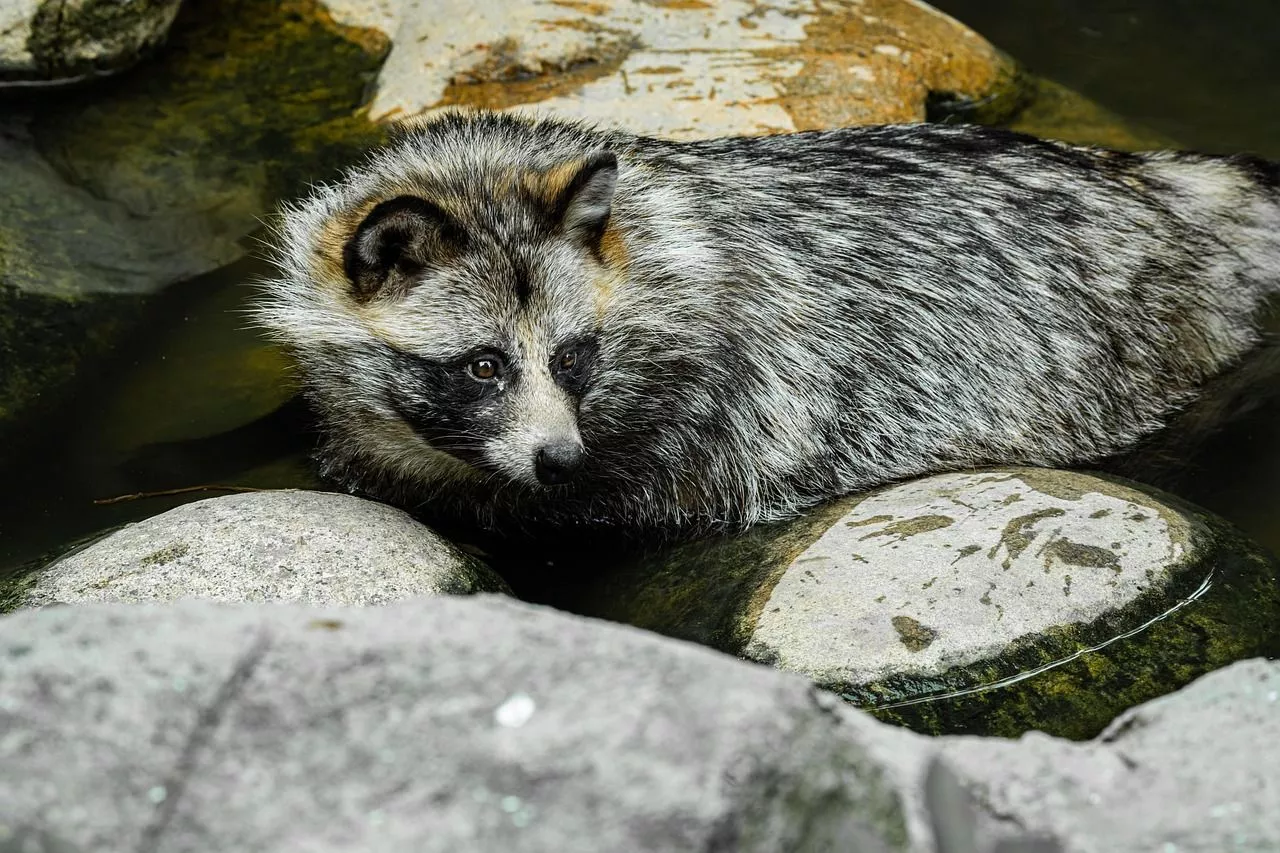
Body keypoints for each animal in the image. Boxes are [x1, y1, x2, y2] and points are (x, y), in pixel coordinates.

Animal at [257, 108, 1280, 535]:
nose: (560, 459)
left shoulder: (698, 424)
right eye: (481, 365)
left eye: (576, 356)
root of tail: (1158, 186)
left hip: (1128, 348)